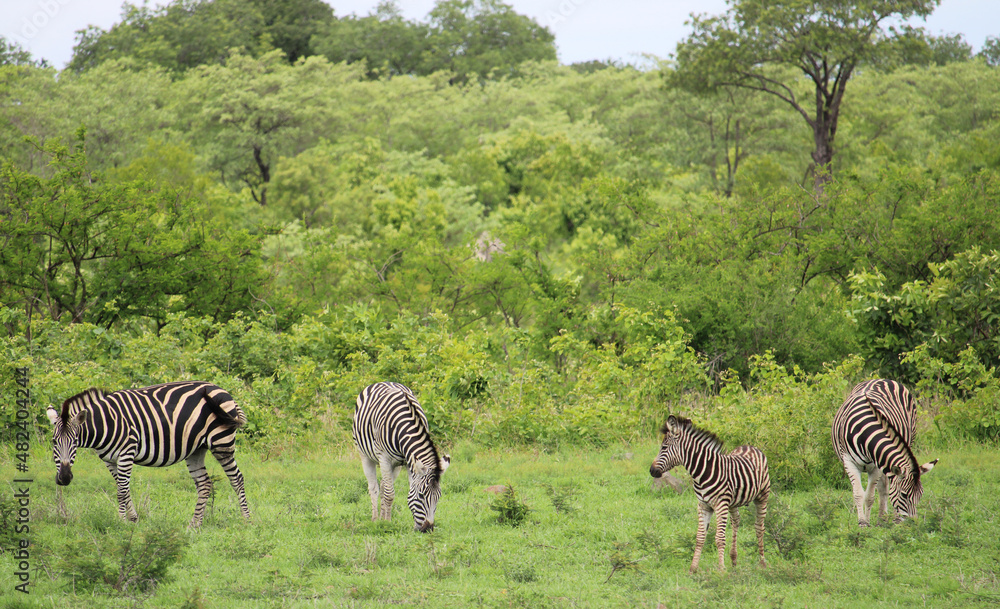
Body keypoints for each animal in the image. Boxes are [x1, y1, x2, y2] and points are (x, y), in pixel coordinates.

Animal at [45, 381, 251, 528]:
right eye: (54, 442)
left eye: (75, 441)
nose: (64, 478)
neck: (105, 423)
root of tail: (224, 391)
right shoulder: (109, 460)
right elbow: (123, 487)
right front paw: (133, 518)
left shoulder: (127, 451)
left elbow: (121, 490)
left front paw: (121, 522)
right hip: (196, 450)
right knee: (205, 484)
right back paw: (194, 524)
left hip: (221, 442)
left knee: (237, 479)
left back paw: (247, 520)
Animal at [352, 382, 450, 532]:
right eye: (421, 495)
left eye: (438, 496)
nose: (428, 529)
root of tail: (383, 382)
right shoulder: (384, 458)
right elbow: (389, 494)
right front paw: (387, 524)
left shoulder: (409, 460)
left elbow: (402, 491)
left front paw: (410, 523)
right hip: (365, 455)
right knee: (374, 488)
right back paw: (375, 520)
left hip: (396, 464)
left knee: (383, 484)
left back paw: (382, 517)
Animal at [650, 415, 770, 573]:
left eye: (664, 447)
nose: (651, 471)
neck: (702, 472)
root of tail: (750, 446)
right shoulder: (703, 505)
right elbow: (700, 537)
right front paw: (693, 569)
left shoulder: (720, 505)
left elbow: (719, 538)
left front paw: (721, 569)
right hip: (733, 502)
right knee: (736, 521)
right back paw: (734, 560)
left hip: (762, 495)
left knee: (759, 527)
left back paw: (762, 563)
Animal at [831, 379, 938, 527]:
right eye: (904, 495)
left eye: (920, 495)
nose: (914, 524)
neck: (865, 433)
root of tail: (883, 379)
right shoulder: (849, 461)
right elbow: (859, 494)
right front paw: (862, 522)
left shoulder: (876, 464)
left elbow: (870, 496)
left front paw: (868, 521)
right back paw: (882, 518)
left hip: (909, 439)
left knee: (885, 487)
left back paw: (886, 518)